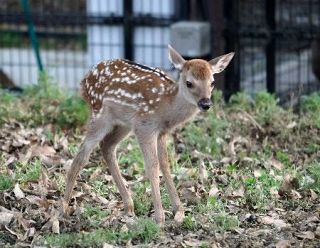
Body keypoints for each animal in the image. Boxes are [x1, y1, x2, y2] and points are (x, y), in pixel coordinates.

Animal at [62, 45, 234, 225]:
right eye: (189, 83)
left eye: (212, 82)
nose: (205, 103)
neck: (166, 107)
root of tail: (84, 81)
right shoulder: (145, 127)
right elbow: (152, 166)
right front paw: (160, 217)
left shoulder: (161, 132)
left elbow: (165, 164)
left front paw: (179, 210)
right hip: (100, 115)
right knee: (82, 155)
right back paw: (64, 209)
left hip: (124, 123)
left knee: (107, 146)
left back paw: (129, 206)